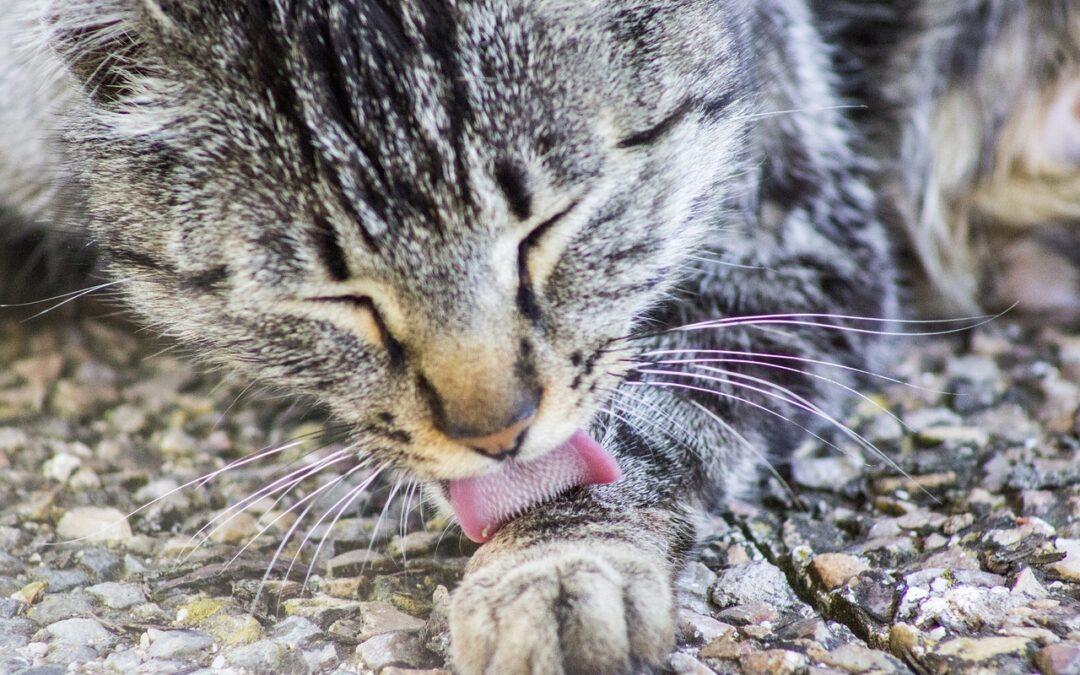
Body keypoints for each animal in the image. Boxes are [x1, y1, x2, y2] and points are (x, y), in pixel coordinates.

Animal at [2, 1, 1071, 673]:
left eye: (549, 226)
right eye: (334, 295)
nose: (496, 429)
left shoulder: (797, 242)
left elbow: (639, 425)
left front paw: (559, 565)